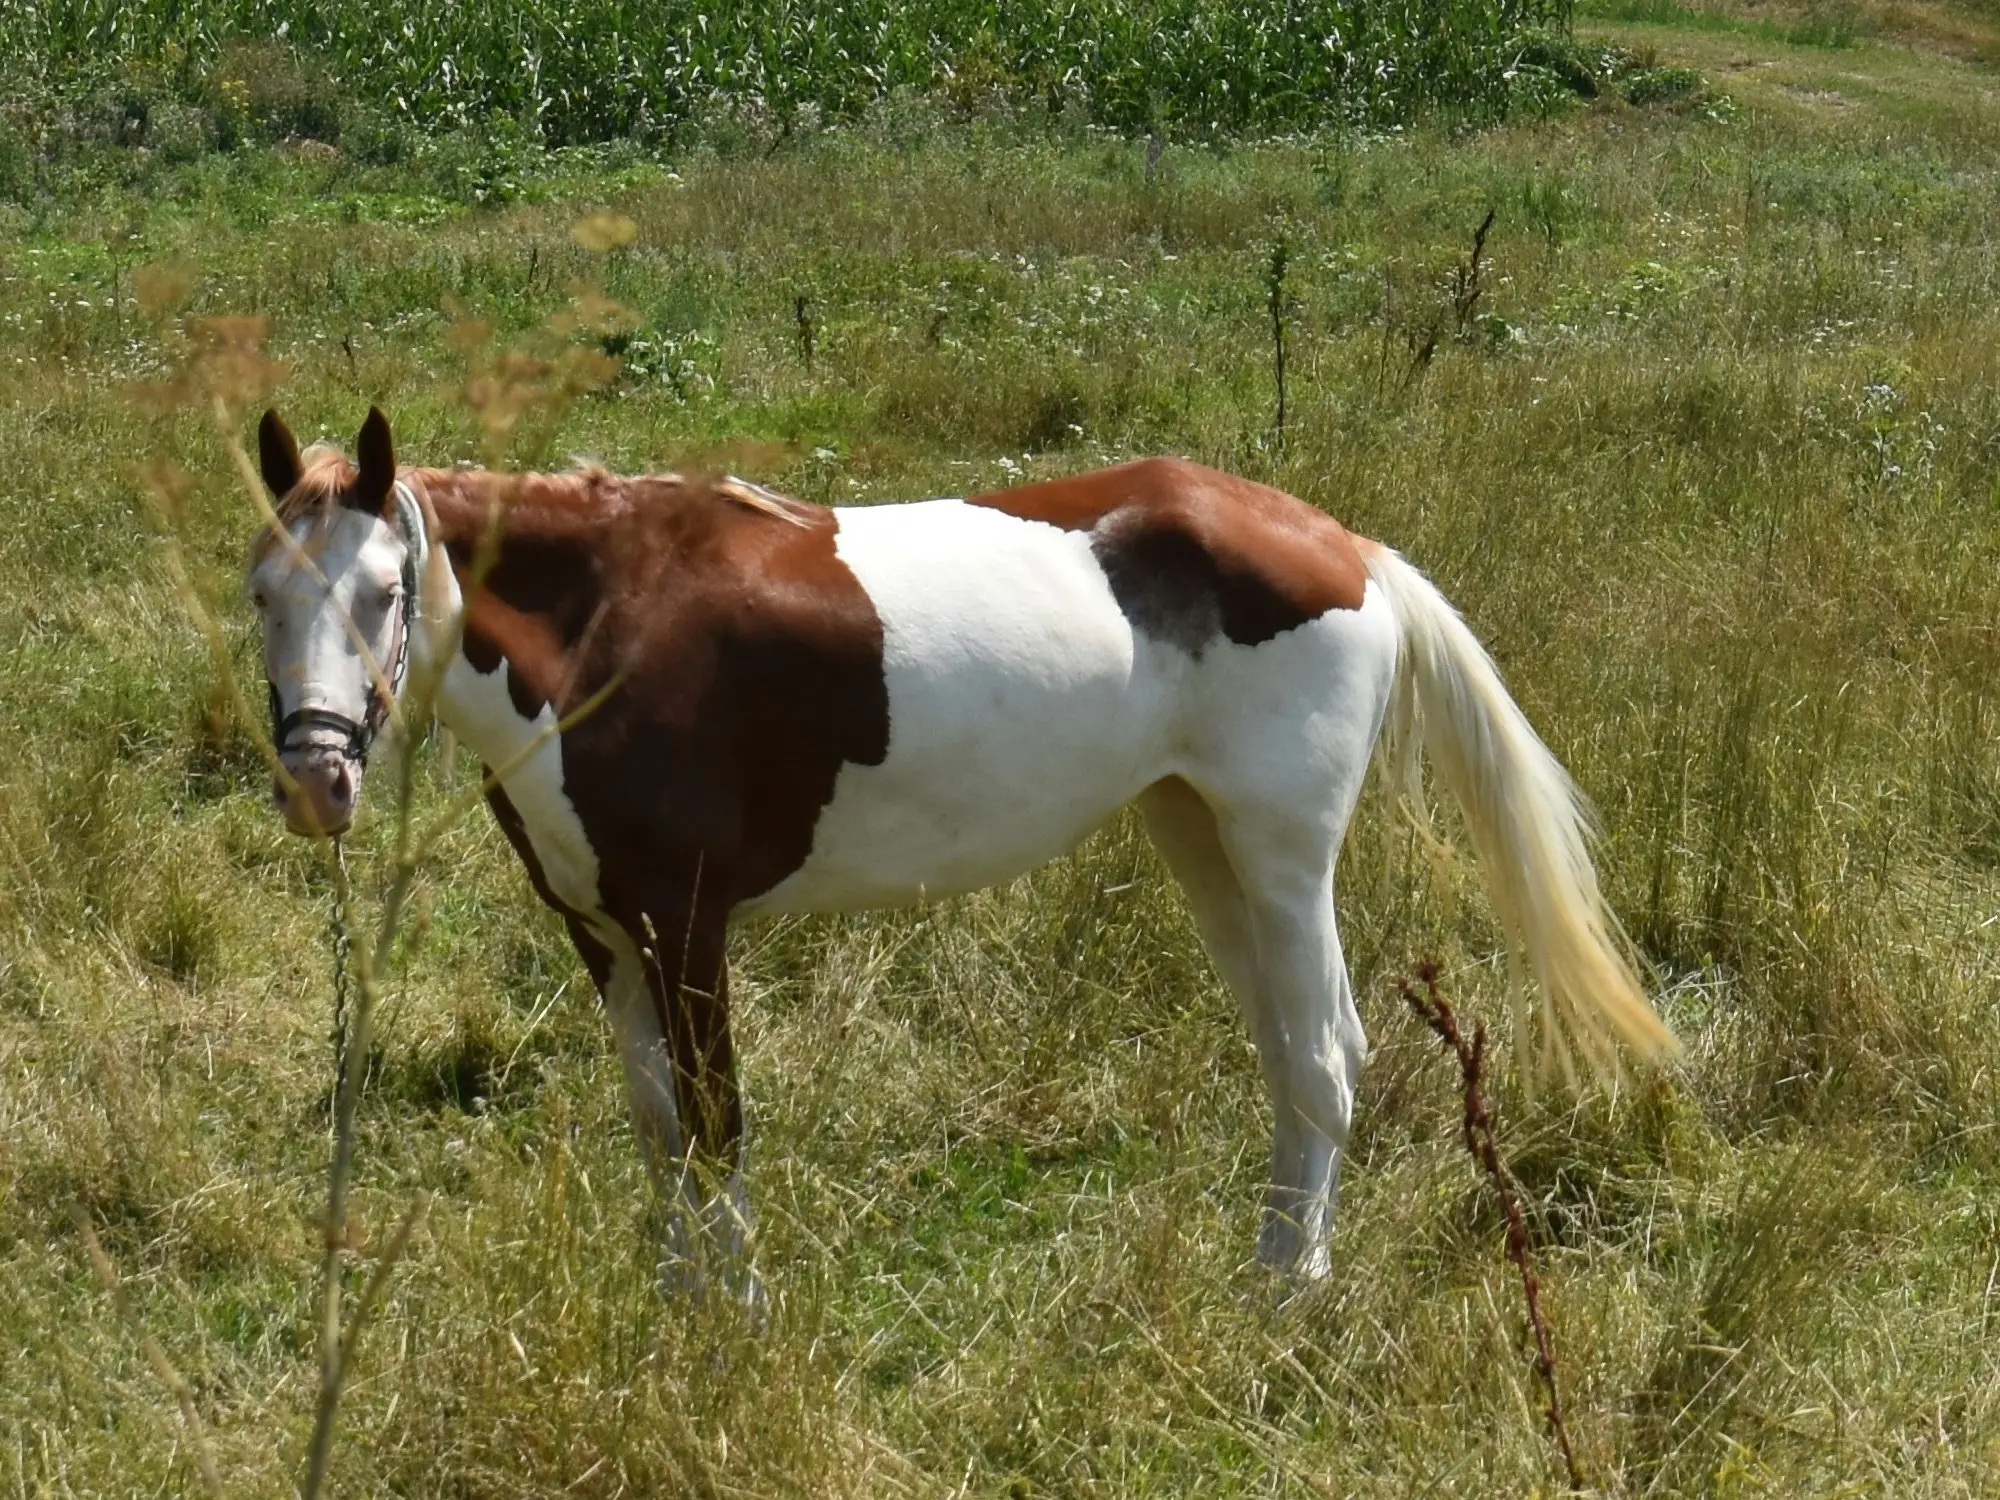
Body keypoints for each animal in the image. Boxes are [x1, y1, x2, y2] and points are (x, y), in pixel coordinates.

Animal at [254, 406, 1688, 1296]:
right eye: (261, 592)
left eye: (382, 592)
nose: (318, 779)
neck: (608, 622)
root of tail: (1349, 549)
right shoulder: (603, 932)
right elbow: (660, 1130)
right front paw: (673, 1307)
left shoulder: (689, 924)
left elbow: (716, 1126)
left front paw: (735, 1325)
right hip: (1200, 843)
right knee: (1294, 1058)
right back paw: (1277, 1268)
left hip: (1283, 858)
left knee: (1327, 1059)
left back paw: (1291, 1296)